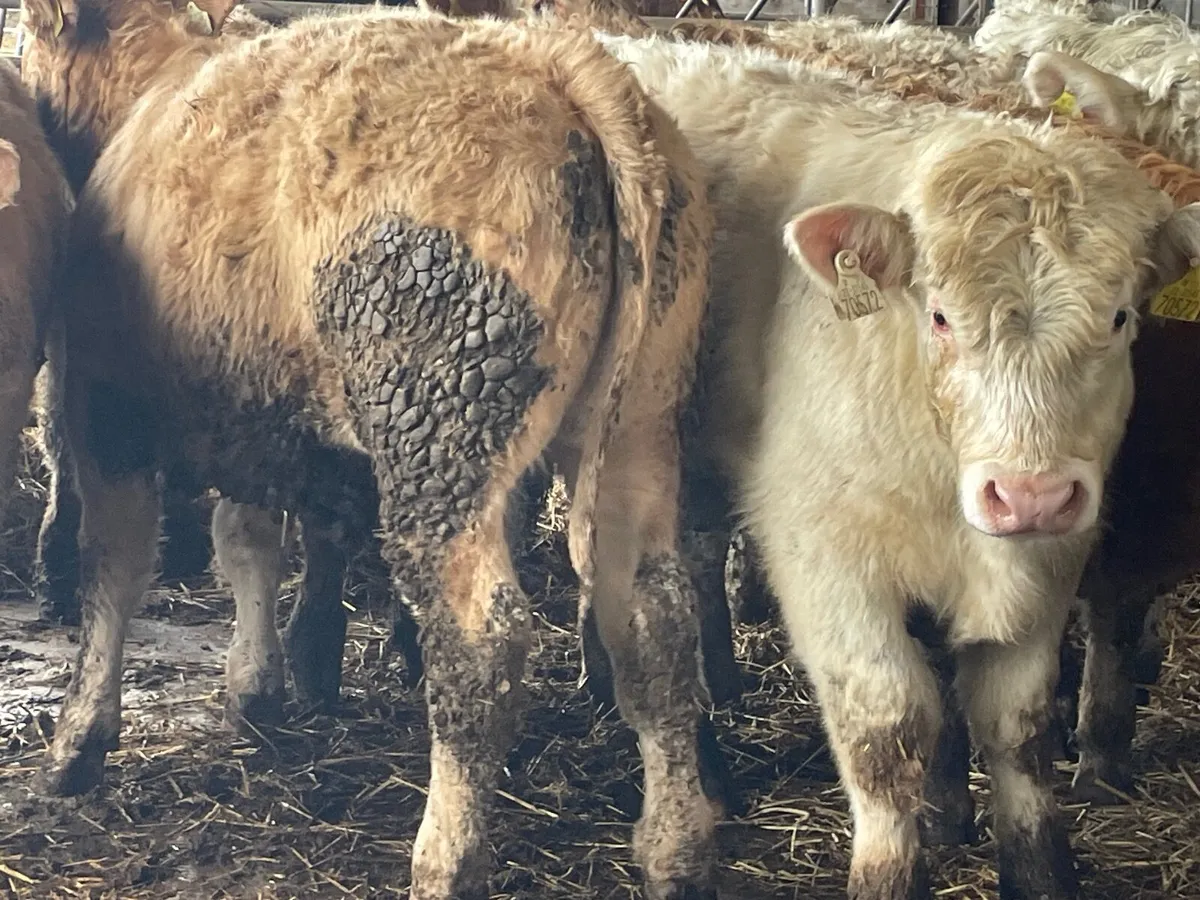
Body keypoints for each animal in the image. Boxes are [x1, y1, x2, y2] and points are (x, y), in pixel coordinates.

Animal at [18, 2, 720, 898]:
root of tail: (557, 66)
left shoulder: (106, 401)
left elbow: (111, 567)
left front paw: (78, 741)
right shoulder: (258, 404)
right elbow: (246, 541)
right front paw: (255, 688)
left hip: (440, 426)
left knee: (481, 645)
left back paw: (445, 860)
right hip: (641, 419)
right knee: (654, 622)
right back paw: (675, 852)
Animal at [596, 32, 1200, 900]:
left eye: (1121, 316)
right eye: (940, 314)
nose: (1029, 494)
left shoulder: (1052, 562)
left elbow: (1018, 728)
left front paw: (1037, 867)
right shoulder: (828, 566)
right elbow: (885, 735)